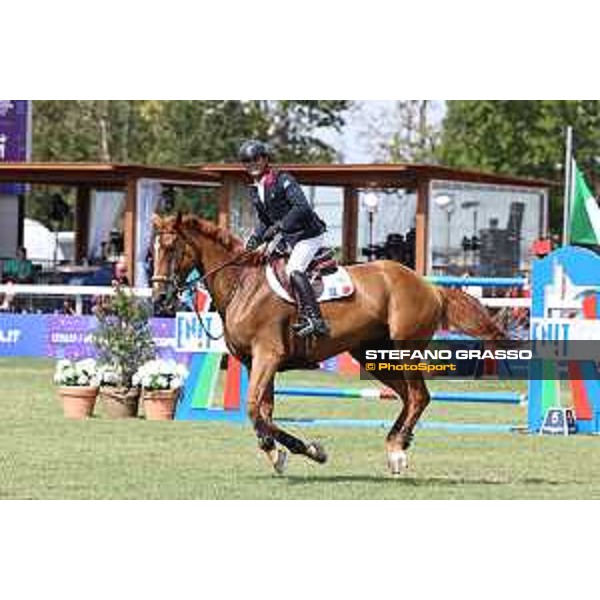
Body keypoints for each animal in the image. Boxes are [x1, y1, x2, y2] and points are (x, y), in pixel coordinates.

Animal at [152, 213, 504, 476]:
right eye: (152, 250)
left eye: (171, 248)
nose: (160, 298)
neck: (243, 284)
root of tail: (429, 286)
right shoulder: (256, 363)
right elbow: (263, 413)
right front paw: (277, 453)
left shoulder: (268, 356)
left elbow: (253, 409)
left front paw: (310, 450)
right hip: (372, 354)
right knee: (407, 396)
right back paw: (395, 444)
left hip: (405, 348)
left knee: (419, 396)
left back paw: (398, 450)